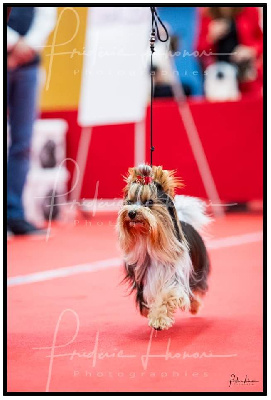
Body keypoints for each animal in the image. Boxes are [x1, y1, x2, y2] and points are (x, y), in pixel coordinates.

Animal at [116, 164, 210, 330]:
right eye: (130, 201)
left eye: (149, 202)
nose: (132, 213)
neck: (149, 239)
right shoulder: (143, 280)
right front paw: (152, 314)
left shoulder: (175, 276)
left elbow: (168, 295)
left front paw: (159, 319)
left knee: (194, 289)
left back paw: (194, 306)